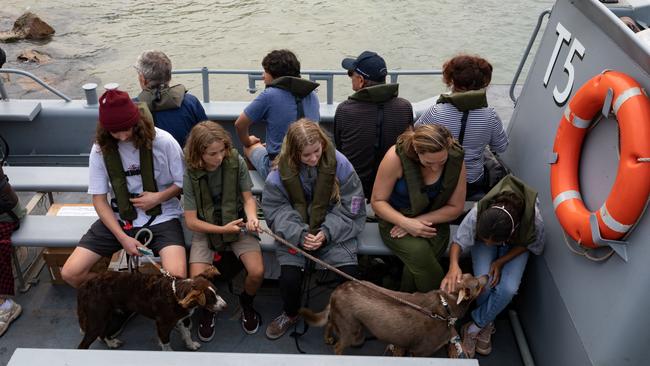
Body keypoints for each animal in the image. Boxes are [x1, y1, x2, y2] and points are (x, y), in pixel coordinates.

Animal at [76, 268, 225, 350]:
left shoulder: (181, 319)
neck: (176, 294)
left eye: (217, 292)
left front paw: (191, 345)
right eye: (210, 298)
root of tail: (85, 285)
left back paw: (112, 343)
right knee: (83, 345)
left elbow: (187, 333)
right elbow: (166, 344)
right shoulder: (163, 324)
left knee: (103, 333)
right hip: (97, 318)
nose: (225, 305)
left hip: (107, 316)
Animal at [296, 274, 484, 356]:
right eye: (478, 285)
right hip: (352, 330)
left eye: (470, 275)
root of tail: (336, 290)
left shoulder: (402, 346)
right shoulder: (420, 352)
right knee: (338, 346)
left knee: (329, 323)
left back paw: (328, 338)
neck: (447, 306)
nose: (488, 275)